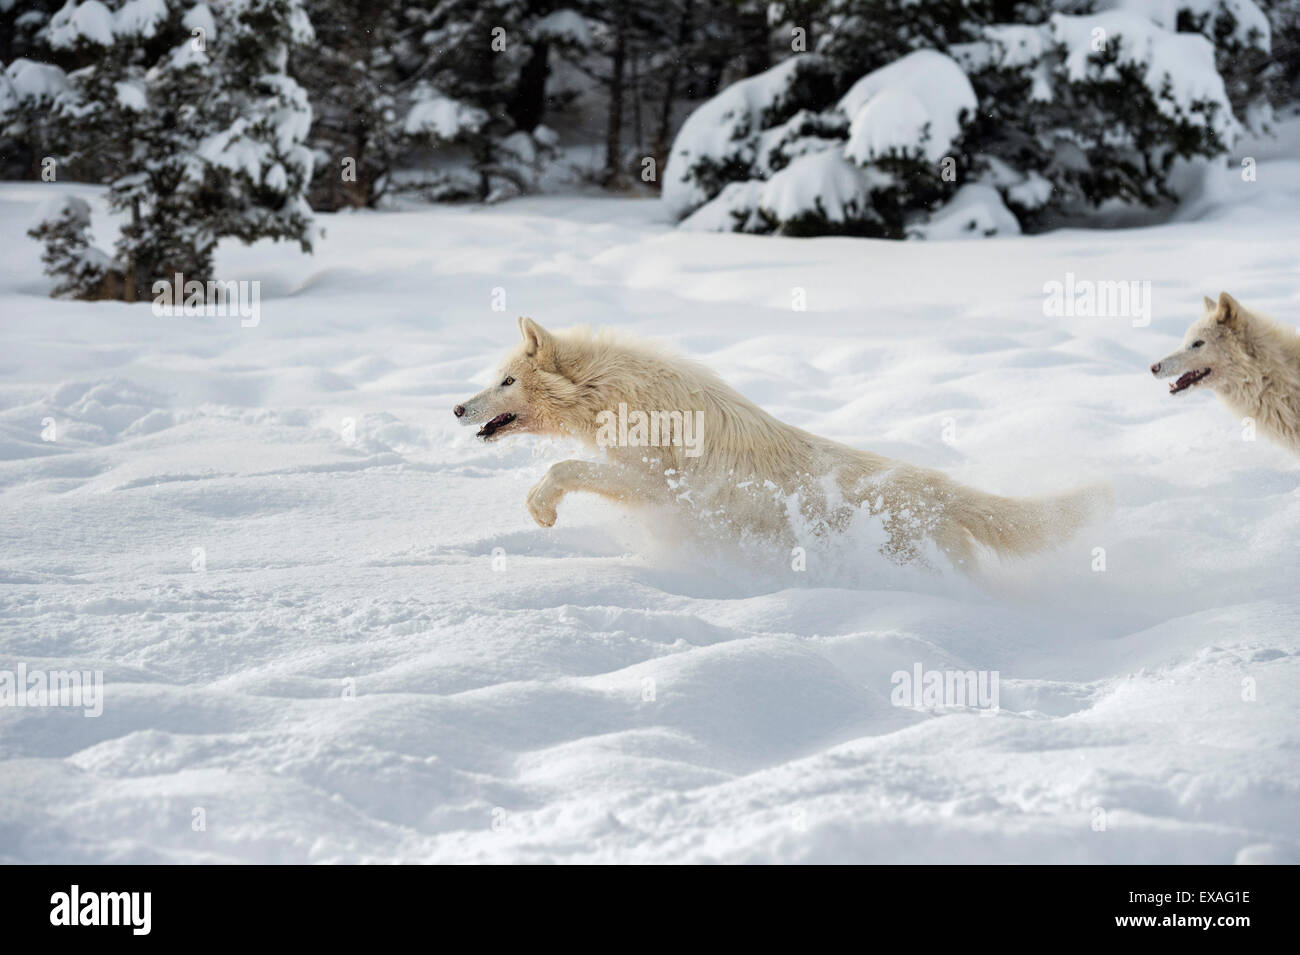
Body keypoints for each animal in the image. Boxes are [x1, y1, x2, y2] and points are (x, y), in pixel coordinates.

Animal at [454, 317, 1107, 571]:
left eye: (506, 381)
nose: (457, 408)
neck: (618, 395)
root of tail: (942, 489)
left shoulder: (656, 486)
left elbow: (563, 468)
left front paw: (541, 511)